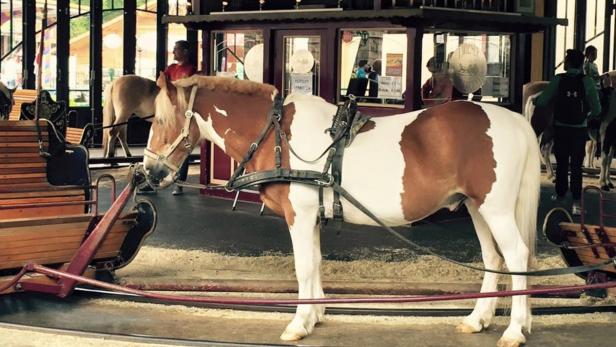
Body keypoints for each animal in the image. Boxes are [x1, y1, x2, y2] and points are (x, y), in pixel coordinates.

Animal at [143, 74, 540, 347]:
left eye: (160, 121)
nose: (149, 171)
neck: (275, 133)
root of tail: (516, 121)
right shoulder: (312, 217)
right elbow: (317, 263)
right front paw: (316, 316)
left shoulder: (299, 215)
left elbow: (304, 267)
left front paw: (298, 323)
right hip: (476, 207)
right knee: (493, 257)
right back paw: (478, 319)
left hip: (495, 209)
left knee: (516, 256)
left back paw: (515, 329)